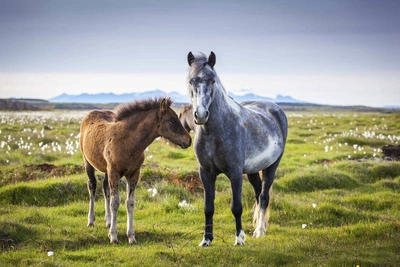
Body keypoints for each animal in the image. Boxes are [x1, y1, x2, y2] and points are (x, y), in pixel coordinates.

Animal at [188, 52, 288, 247]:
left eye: (212, 80)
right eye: (191, 80)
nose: (201, 115)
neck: (215, 131)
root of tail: (275, 109)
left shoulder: (235, 172)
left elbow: (236, 207)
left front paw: (239, 238)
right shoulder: (205, 172)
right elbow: (208, 207)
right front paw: (206, 239)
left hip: (271, 167)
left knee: (264, 196)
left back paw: (260, 231)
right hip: (252, 171)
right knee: (258, 194)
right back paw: (258, 228)